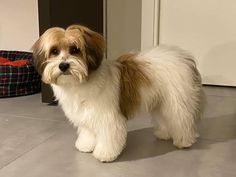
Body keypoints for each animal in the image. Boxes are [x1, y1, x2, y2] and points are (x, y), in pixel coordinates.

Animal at [31, 24, 203, 162]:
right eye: (54, 51)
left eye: (75, 50)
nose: (63, 65)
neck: (81, 82)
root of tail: (183, 57)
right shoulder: (87, 115)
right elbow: (88, 132)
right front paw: (86, 145)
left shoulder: (108, 117)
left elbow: (108, 136)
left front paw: (105, 154)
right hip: (161, 101)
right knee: (167, 118)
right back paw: (165, 133)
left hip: (177, 100)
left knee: (183, 120)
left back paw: (184, 141)